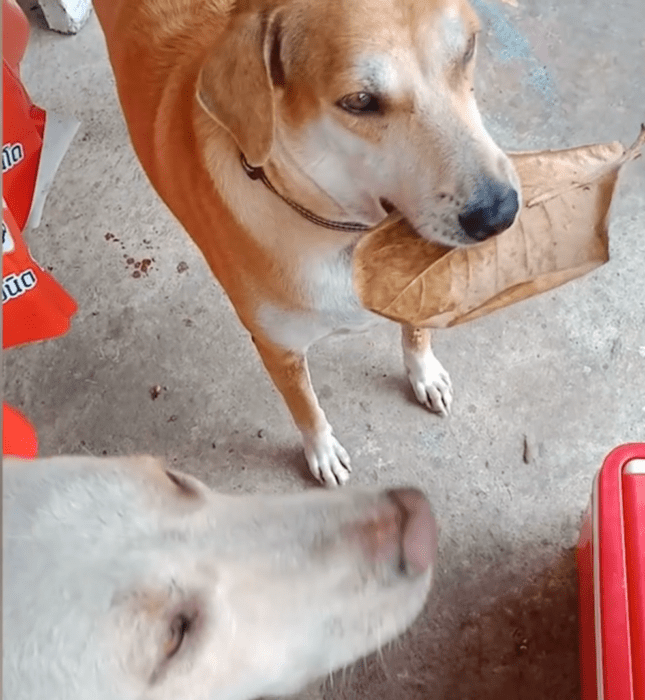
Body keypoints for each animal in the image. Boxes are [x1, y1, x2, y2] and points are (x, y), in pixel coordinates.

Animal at [93, 0, 520, 486]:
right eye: (359, 101)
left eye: (466, 49)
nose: (499, 213)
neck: (343, 232)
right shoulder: (279, 349)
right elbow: (306, 407)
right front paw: (322, 451)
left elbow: (415, 332)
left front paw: (424, 373)